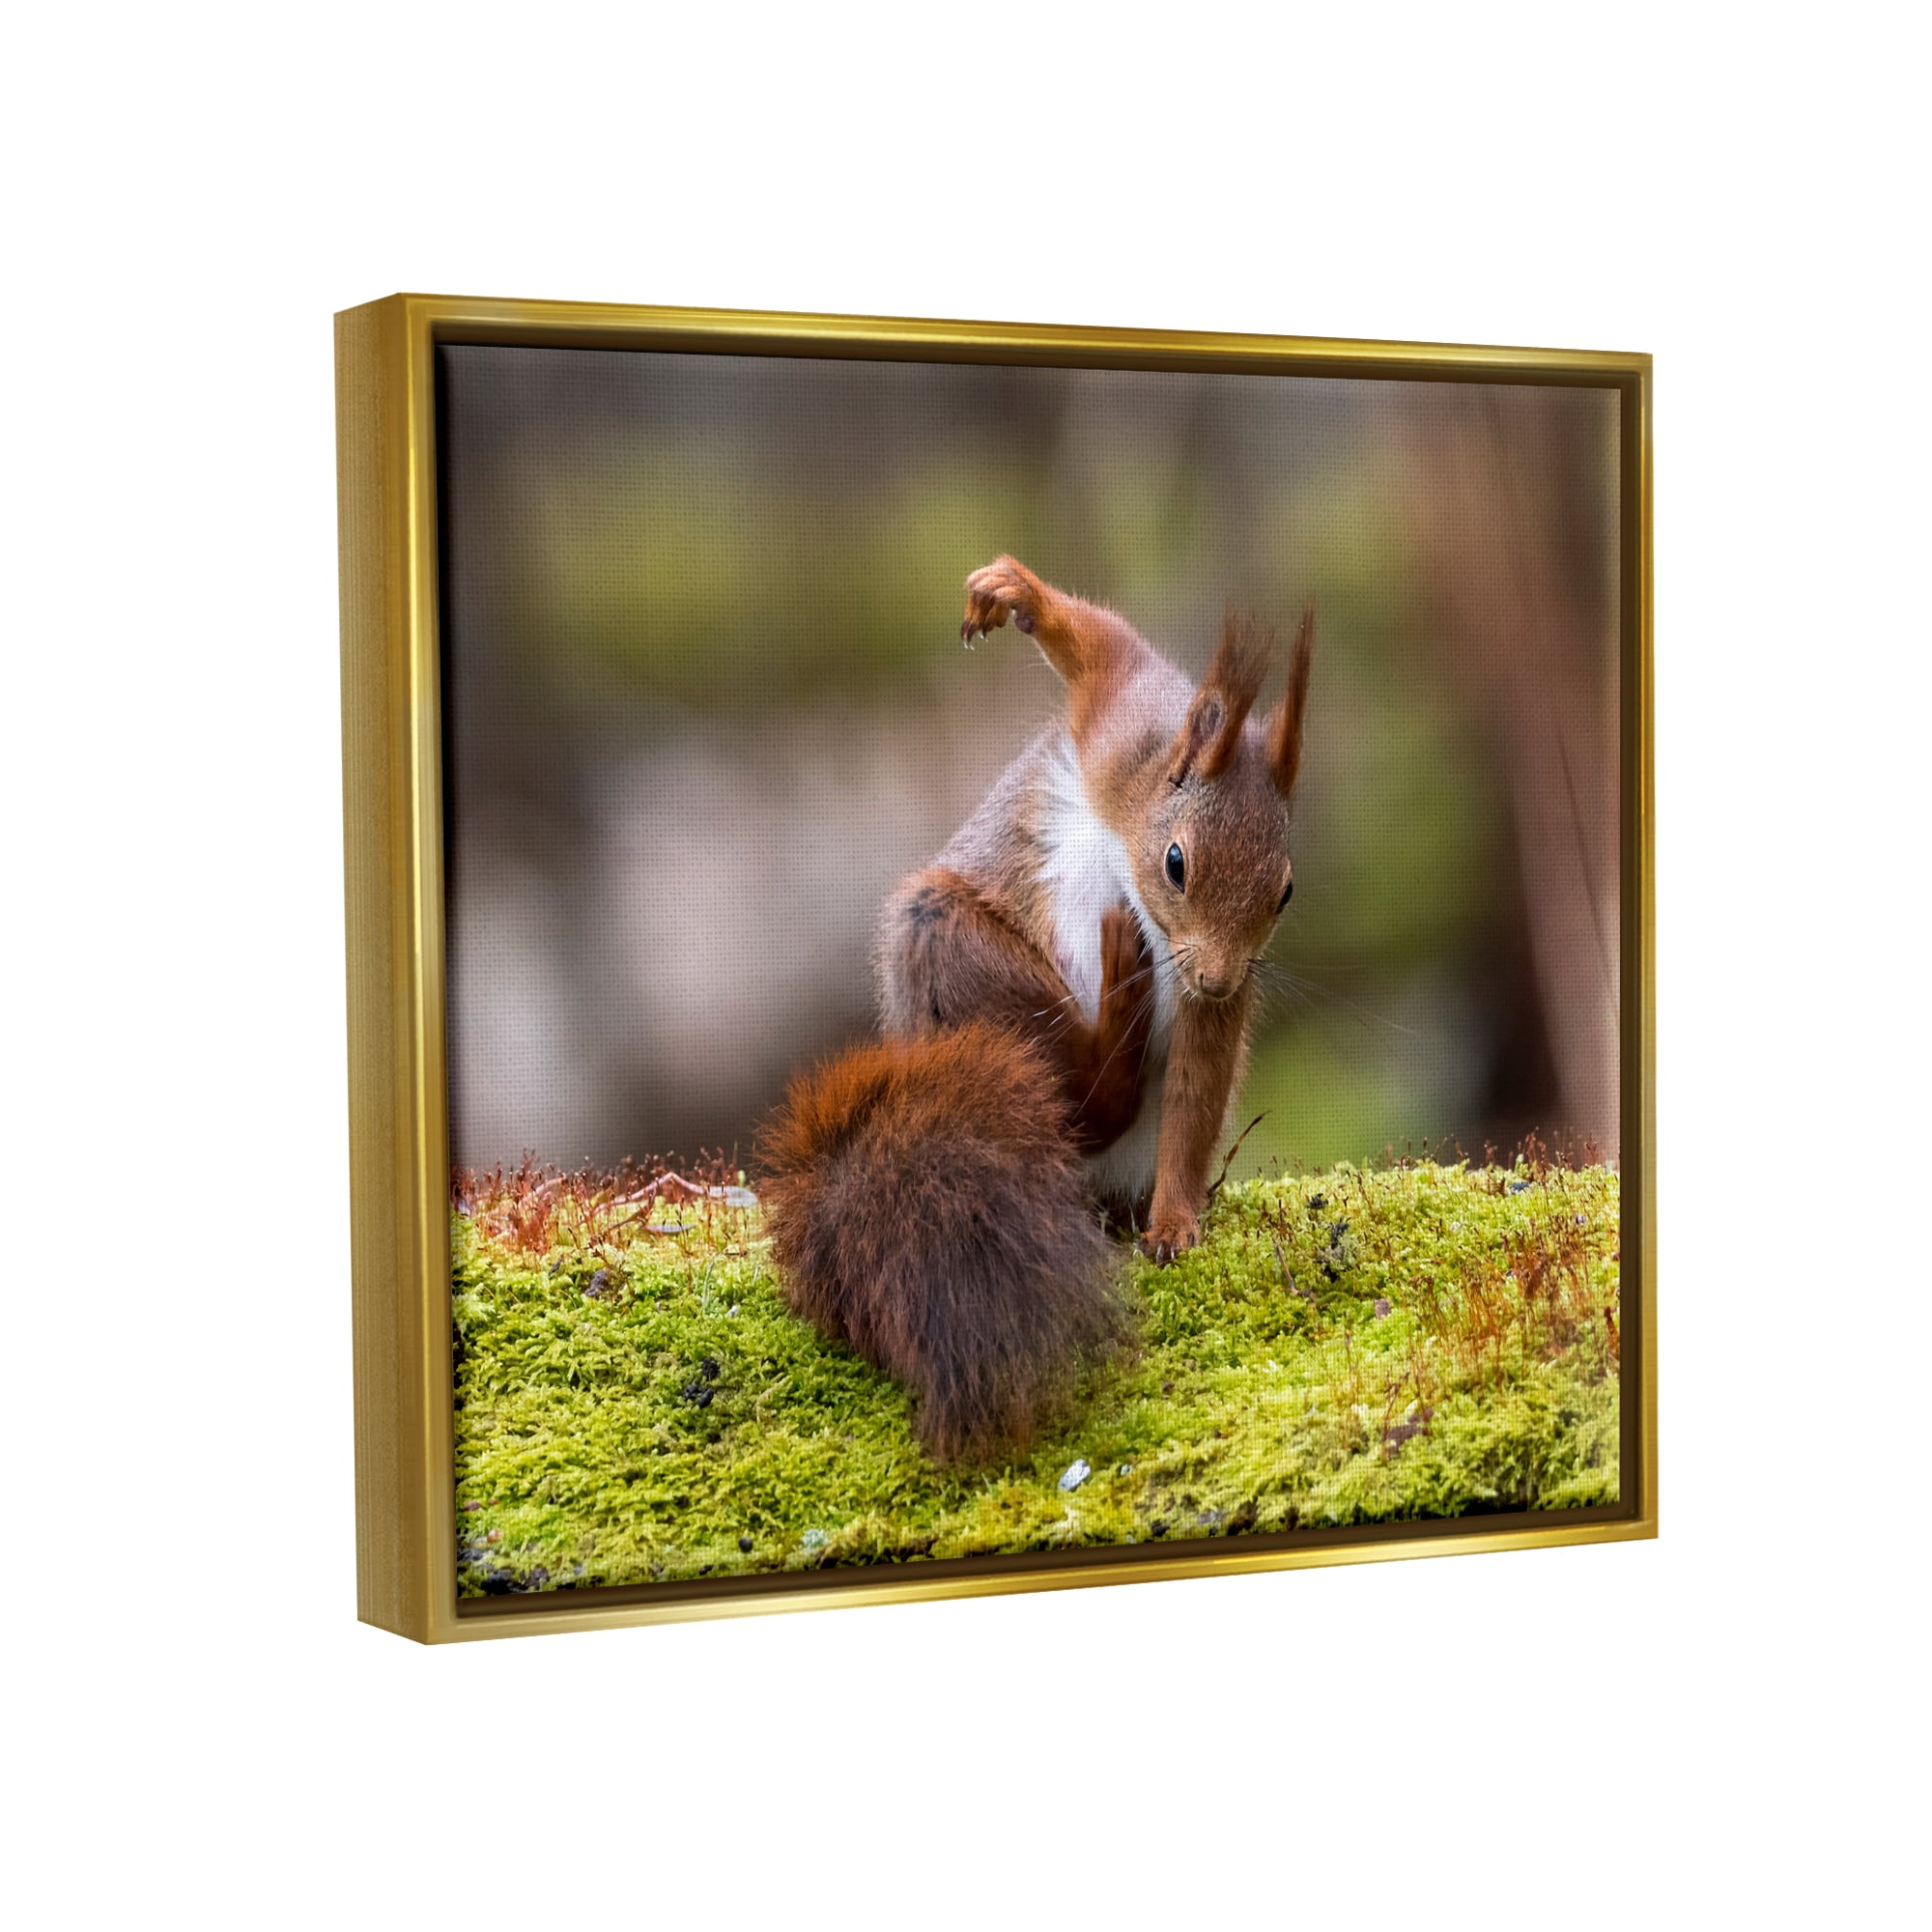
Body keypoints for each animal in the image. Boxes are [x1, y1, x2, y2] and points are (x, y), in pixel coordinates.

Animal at [758, 556, 1314, 1463]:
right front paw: (1014, 593)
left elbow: (1196, 1095)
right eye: (1177, 863)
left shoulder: (1207, 1003)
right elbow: (1100, 646)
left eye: (1285, 892)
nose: (1220, 979)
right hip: (949, 947)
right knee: (1080, 1096)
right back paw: (1115, 1015)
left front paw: (1174, 1223)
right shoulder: (1120, 727)